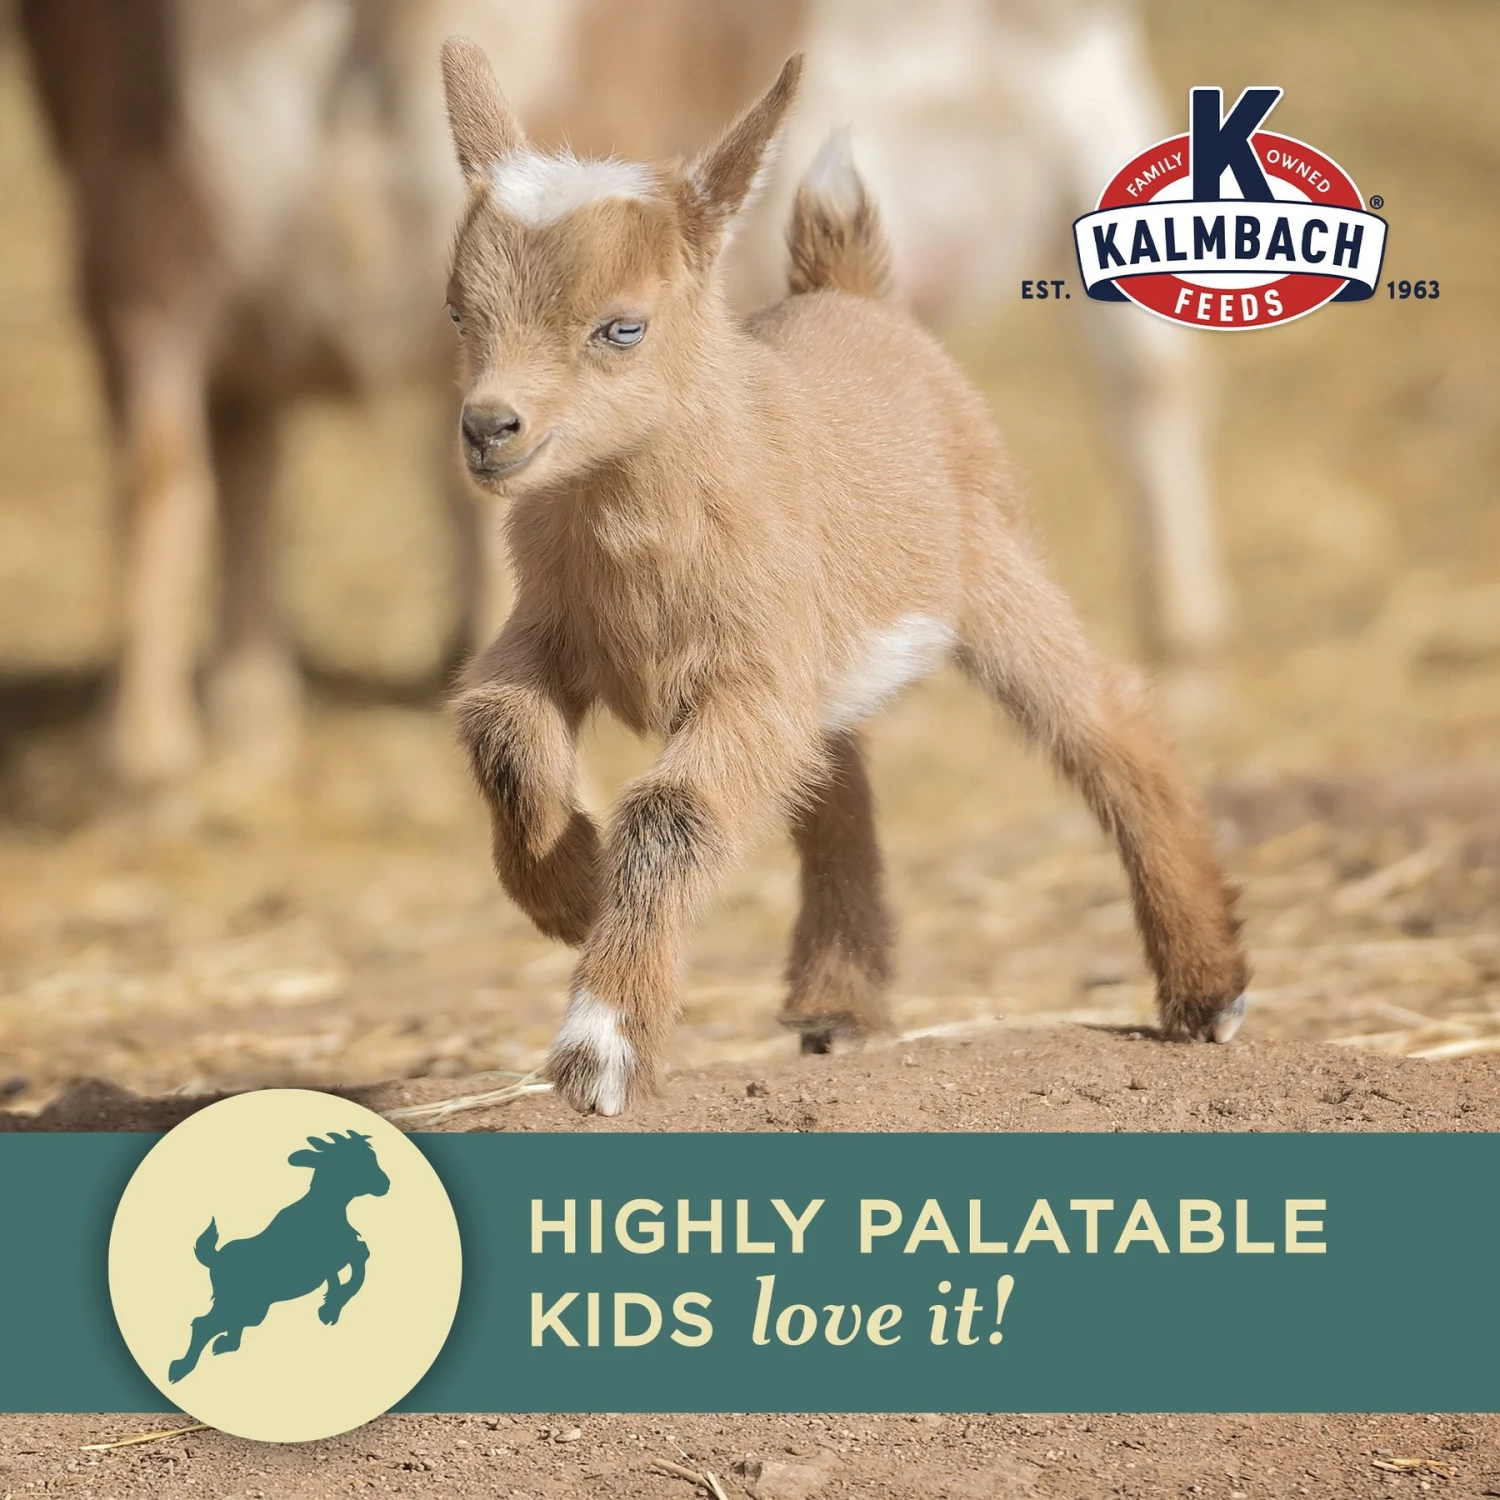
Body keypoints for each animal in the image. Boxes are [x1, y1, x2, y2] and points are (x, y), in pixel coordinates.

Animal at [167, 1129, 389, 1383]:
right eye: (356, 1160)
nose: (385, 1184)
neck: (324, 1207)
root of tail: (215, 1259)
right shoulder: (338, 1254)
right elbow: (359, 1263)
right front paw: (331, 1307)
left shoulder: (335, 1260)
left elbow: (347, 1272)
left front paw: (329, 1306)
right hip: (239, 1301)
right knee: (203, 1324)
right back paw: (181, 1368)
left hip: (253, 1308)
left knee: (230, 1323)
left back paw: (226, 1344)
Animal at [440, 40, 1249, 1117]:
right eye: (458, 311)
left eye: (622, 328)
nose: (490, 429)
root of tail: (853, 293)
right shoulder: (553, 629)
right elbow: (496, 726)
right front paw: (566, 888)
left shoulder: (748, 673)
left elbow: (669, 816)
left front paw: (600, 1045)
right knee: (835, 779)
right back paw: (840, 1007)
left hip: (991, 567)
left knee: (1106, 722)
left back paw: (1208, 993)